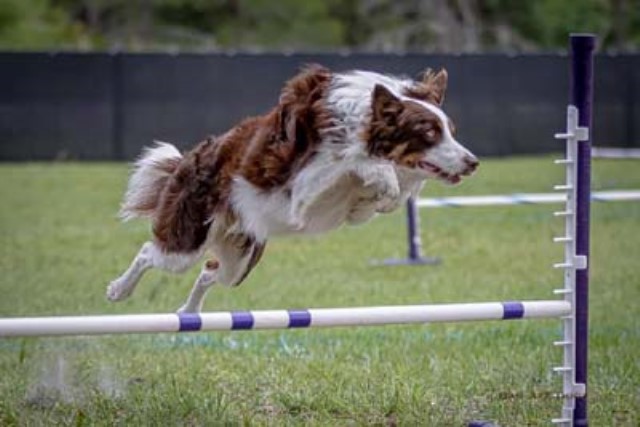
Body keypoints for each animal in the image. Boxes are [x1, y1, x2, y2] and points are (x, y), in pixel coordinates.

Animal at [107, 65, 478, 312]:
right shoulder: (301, 191)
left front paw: (385, 192)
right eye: (429, 133)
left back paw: (189, 313)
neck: (361, 123)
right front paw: (379, 173)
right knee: (149, 252)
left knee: (210, 272)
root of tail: (189, 158)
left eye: (452, 130)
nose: (473, 162)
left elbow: (386, 194)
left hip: (239, 261)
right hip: (187, 241)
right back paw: (118, 290)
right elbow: (360, 162)